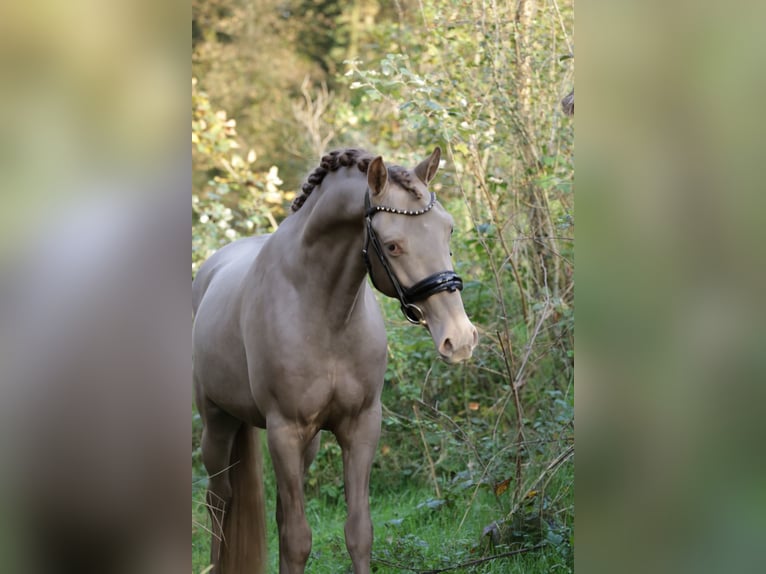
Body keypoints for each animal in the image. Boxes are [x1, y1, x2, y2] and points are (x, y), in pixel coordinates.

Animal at [192, 148, 480, 574]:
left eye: (448, 231)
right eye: (392, 245)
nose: (459, 338)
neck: (322, 310)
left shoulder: (361, 425)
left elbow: (357, 532)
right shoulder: (284, 430)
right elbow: (298, 540)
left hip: (305, 443)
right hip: (217, 422)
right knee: (218, 499)